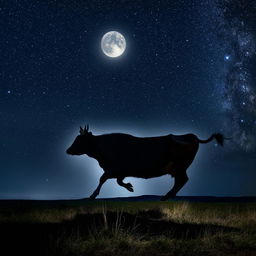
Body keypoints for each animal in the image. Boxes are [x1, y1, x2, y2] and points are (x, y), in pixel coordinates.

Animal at [65, 125, 224, 201]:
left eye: (80, 140)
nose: (68, 150)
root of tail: (192, 136)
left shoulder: (112, 169)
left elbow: (102, 179)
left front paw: (92, 195)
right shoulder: (120, 172)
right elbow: (118, 182)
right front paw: (130, 187)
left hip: (180, 167)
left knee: (182, 180)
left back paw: (167, 196)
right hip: (178, 168)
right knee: (180, 181)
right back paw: (168, 196)